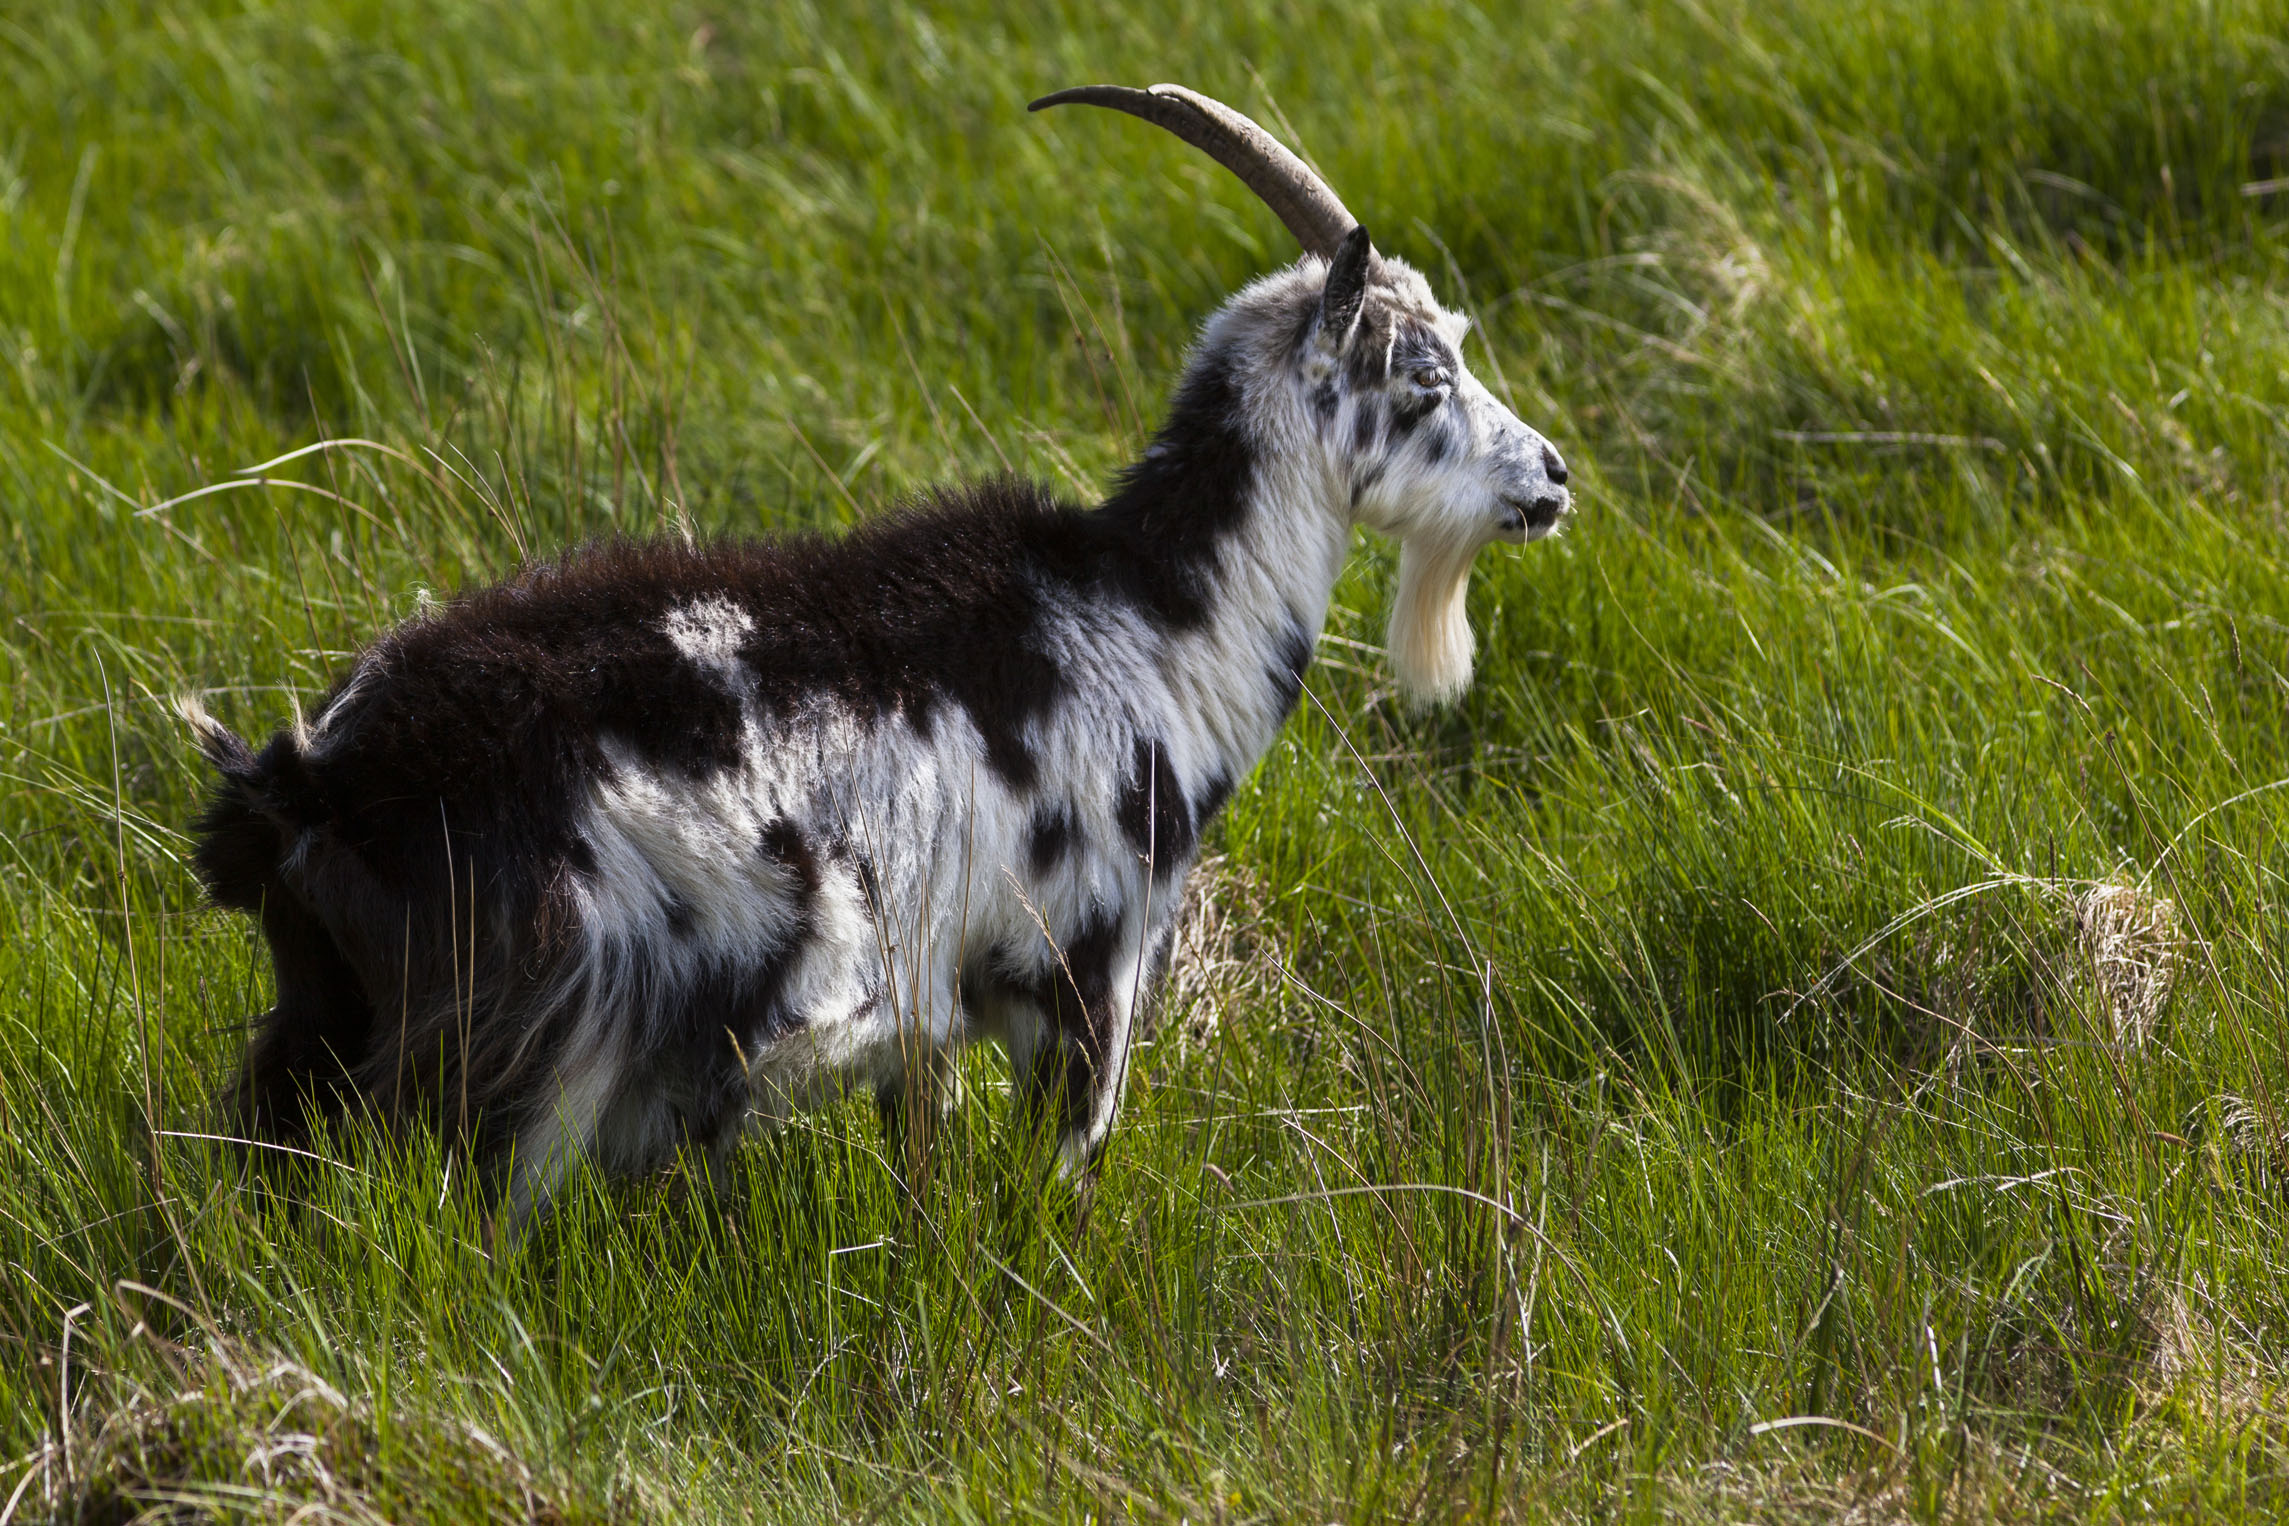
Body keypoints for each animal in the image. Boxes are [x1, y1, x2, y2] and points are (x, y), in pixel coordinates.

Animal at [183, 86, 1574, 1226]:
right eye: (1424, 375)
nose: (1553, 478)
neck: (1150, 625)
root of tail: (309, 783)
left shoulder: (931, 1016)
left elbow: (924, 1173)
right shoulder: (1087, 976)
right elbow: (1048, 1199)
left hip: (321, 1024)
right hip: (535, 1052)